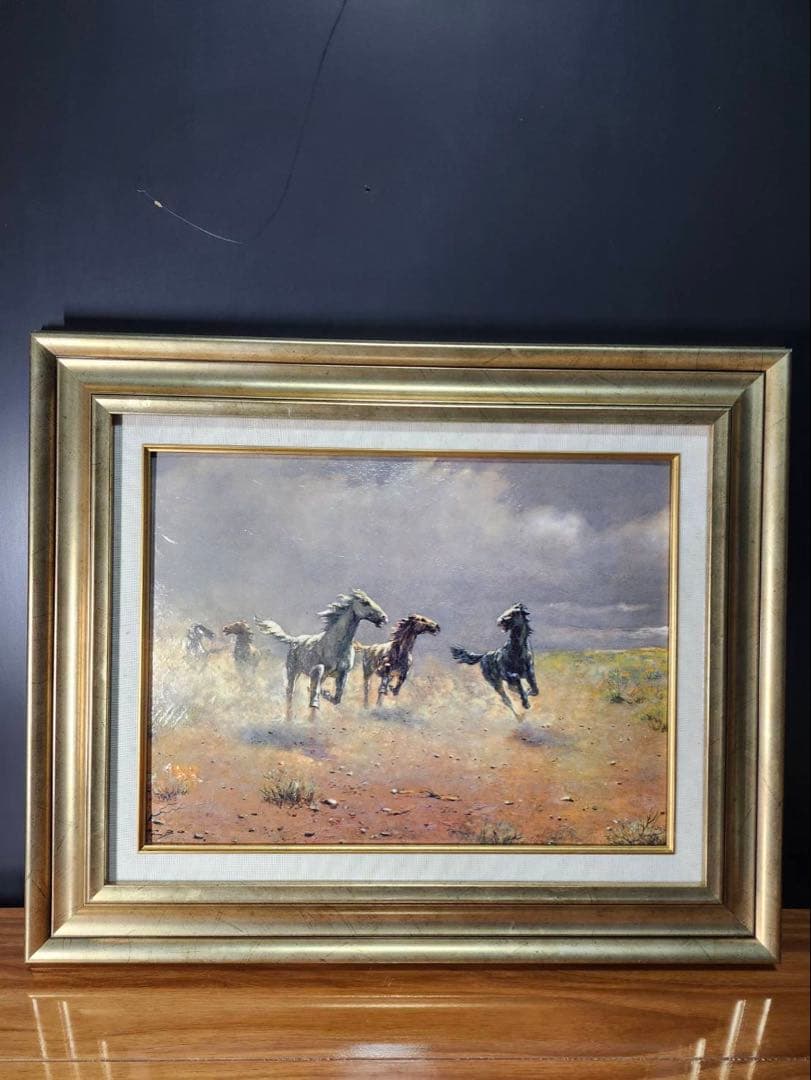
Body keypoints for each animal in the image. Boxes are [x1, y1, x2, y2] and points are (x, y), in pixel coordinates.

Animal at [255, 589, 387, 719]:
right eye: (365, 602)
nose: (384, 618)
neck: (337, 645)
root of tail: (294, 640)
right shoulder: (317, 669)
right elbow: (315, 691)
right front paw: (314, 709)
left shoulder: (343, 673)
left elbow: (337, 698)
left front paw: (324, 697)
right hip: (293, 672)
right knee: (290, 693)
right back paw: (289, 719)